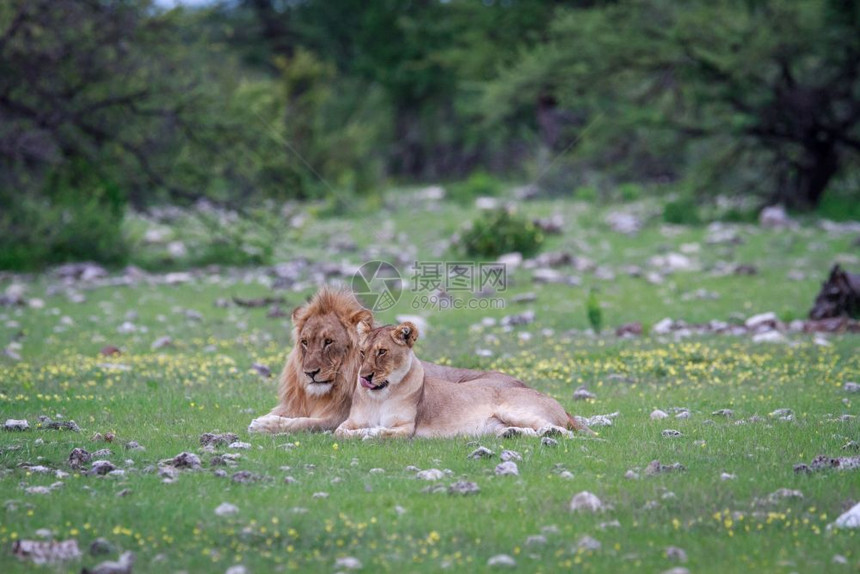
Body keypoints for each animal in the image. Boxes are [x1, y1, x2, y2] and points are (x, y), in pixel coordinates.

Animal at [249, 290, 524, 434]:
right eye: (305, 342)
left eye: (328, 342)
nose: (310, 373)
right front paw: (265, 419)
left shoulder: (338, 418)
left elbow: (304, 423)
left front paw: (265, 424)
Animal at [330, 324, 592, 440]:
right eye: (362, 352)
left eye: (382, 352)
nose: (365, 377)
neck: (380, 395)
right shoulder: (349, 422)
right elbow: (340, 432)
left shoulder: (406, 427)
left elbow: (382, 431)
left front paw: (371, 432)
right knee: (529, 431)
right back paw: (511, 434)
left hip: (514, 409)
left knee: (559, 431)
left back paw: (550, 431)